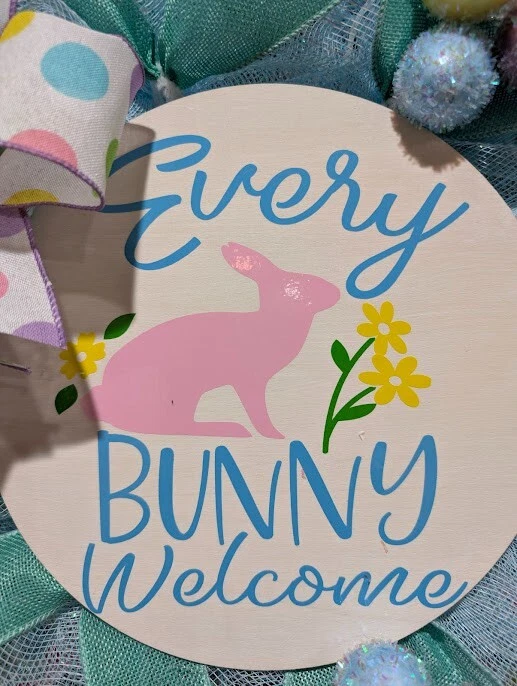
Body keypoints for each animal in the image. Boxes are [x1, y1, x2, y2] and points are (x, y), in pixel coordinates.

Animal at [82, 243, 341, 438]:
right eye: (307, 283)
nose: (337, 292)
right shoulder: (249, 381)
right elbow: (258, 411)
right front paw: (274, 434)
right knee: (174, 426)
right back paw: (230, 429)